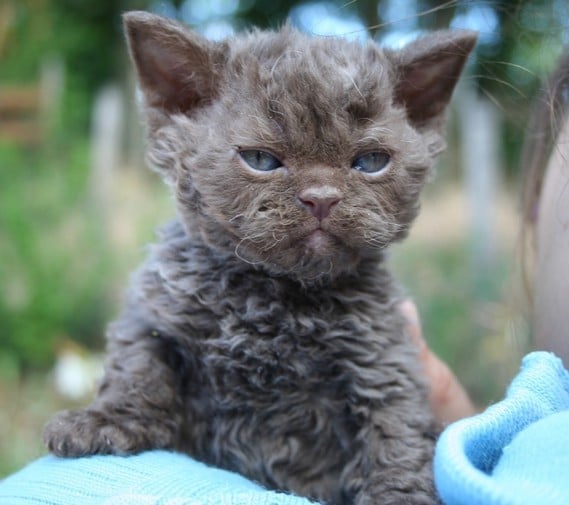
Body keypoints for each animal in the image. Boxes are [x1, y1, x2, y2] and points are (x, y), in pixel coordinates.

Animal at [43, 11, 474, 504]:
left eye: (370, 161)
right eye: (260, 160)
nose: (321, 197)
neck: (274, 295)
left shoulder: (382, 358)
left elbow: (396, 428)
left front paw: (400, 495)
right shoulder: (153, 313)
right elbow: (137, 365)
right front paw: (104, 421)